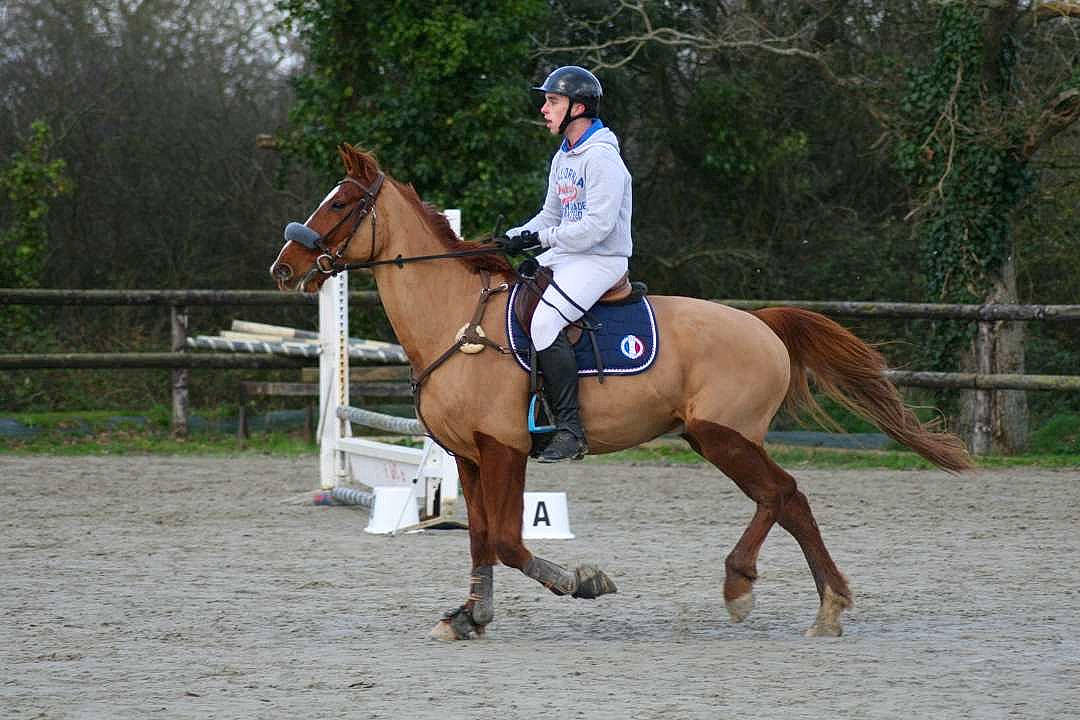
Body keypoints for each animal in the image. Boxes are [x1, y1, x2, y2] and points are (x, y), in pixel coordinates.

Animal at [270, 144, 972, 640]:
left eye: (340, 204)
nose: (285, 267)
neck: (457, 321)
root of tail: (762, 324)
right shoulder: (469, 456)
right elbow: (479, 539)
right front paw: (470, 615)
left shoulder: (504, 449)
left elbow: (508, 540)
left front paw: (583, 583)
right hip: (711, 438)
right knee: (786, 499)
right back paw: (822, 604)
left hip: (723, 436)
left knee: (783, 494)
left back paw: (755, 589)